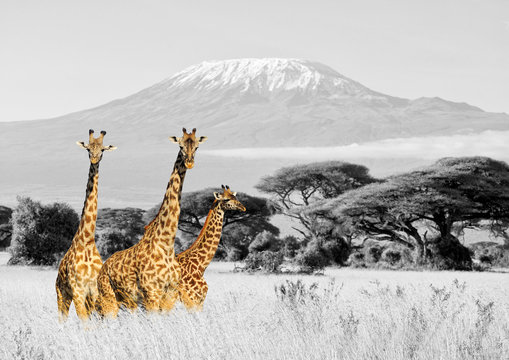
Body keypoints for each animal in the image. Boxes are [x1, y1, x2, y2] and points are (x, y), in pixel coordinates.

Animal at [55, 129, 116, 320]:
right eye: (88, 149)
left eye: (102, 149)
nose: (94, 159)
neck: (87, 240)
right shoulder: (78, 291)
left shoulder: (94, 291)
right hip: (61, 294)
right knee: (62, 319)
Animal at [95, 127, 206, 318]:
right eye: (180, 145)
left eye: (197, 146)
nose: (190, 162)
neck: (166, 244)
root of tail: (104, 267)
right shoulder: (151, 293)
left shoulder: (170, 294)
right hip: (109, 298)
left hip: (128, 301)